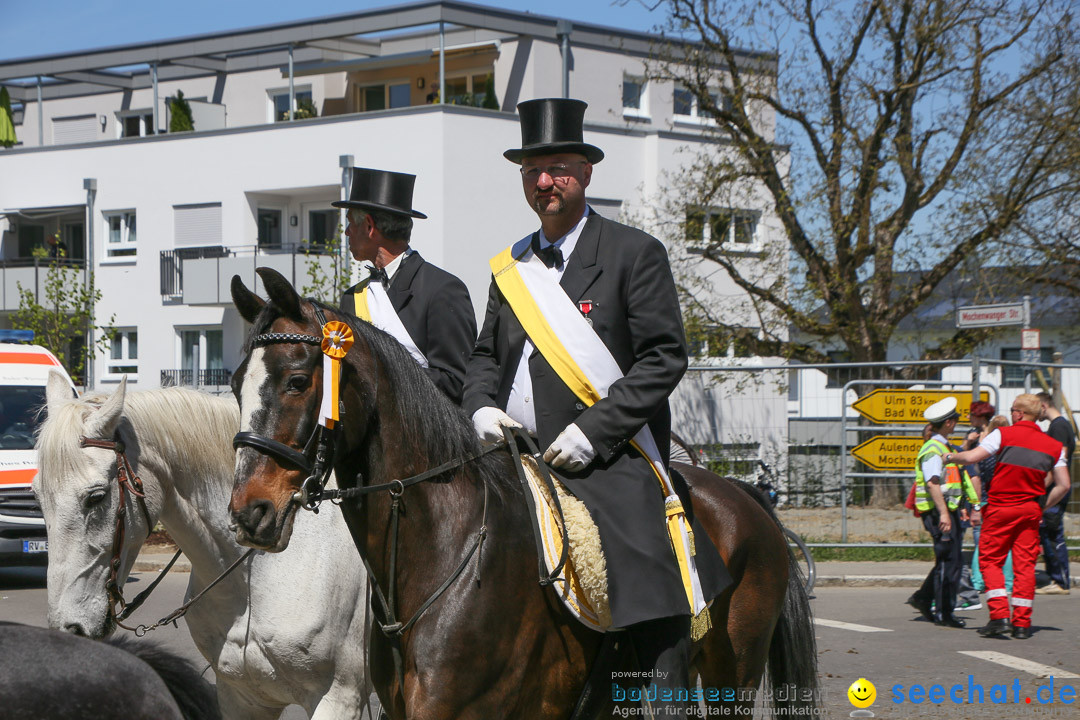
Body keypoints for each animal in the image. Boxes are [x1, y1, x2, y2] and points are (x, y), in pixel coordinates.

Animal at [35, 371, 373, 720]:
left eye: (97, 497)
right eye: (38, 496)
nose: (69, 629)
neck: (255, 575)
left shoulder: (339, 699)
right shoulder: (242, 697)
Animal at [230, 269, 816, 720]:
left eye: (298, 381)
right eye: (236, 384)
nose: (247, 514)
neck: (446, 552)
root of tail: (744, 494)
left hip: (731, 673)